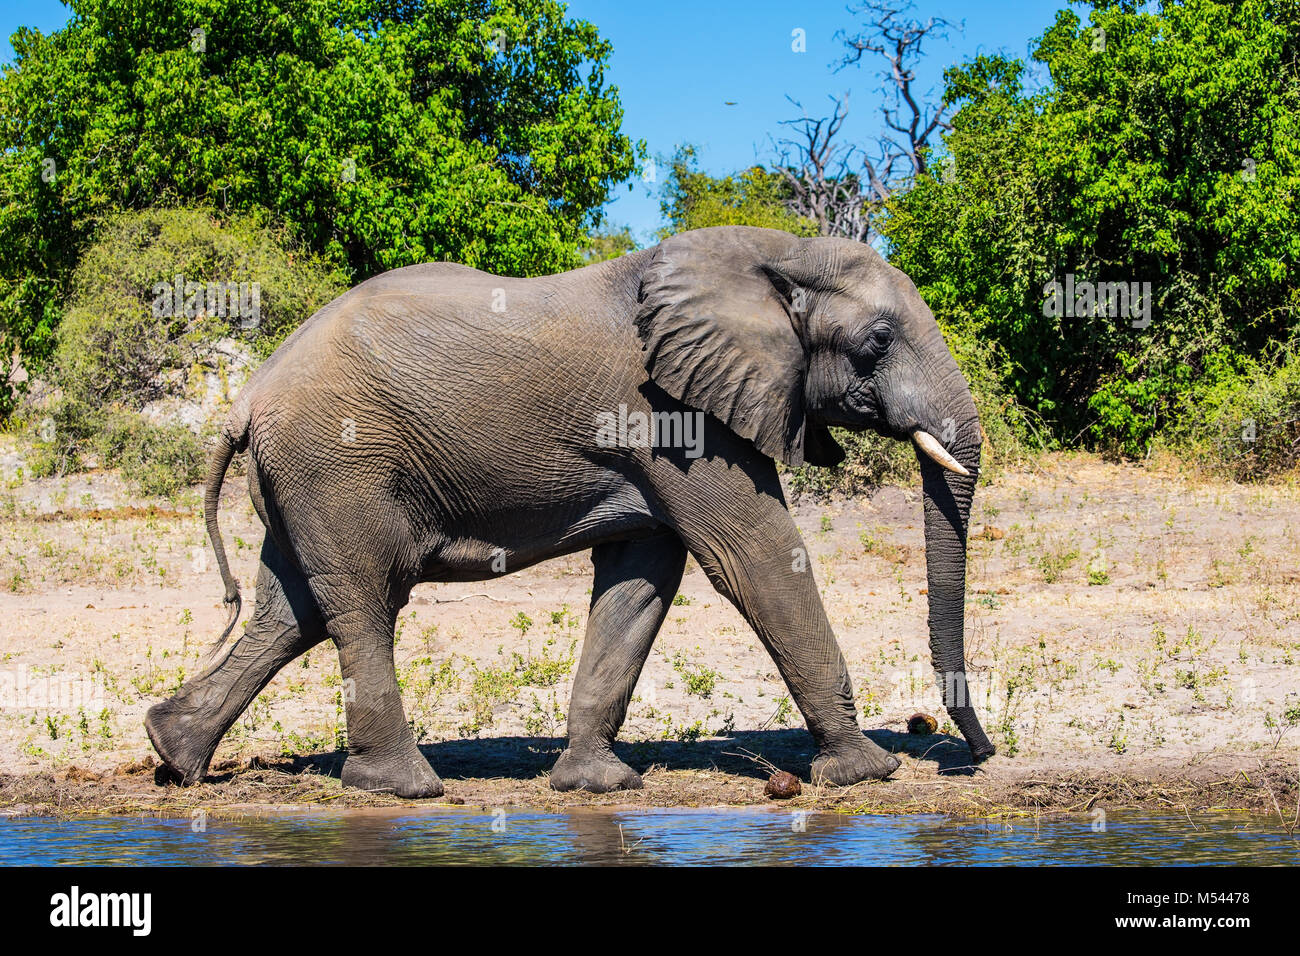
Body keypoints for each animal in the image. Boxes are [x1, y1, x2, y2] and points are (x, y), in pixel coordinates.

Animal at [144, 226, 993, 801]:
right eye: (877, 342)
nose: (977, 754)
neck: (776, 252)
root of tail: (247, 397)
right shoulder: (675, 415)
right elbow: (756, 557)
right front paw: (867, 773)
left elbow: (643, 574)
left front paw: (595, 785)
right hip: (339, 462)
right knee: (362, 600)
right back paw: (405, 788)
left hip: (305, 477)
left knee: (290, 611)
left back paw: (174, 753)